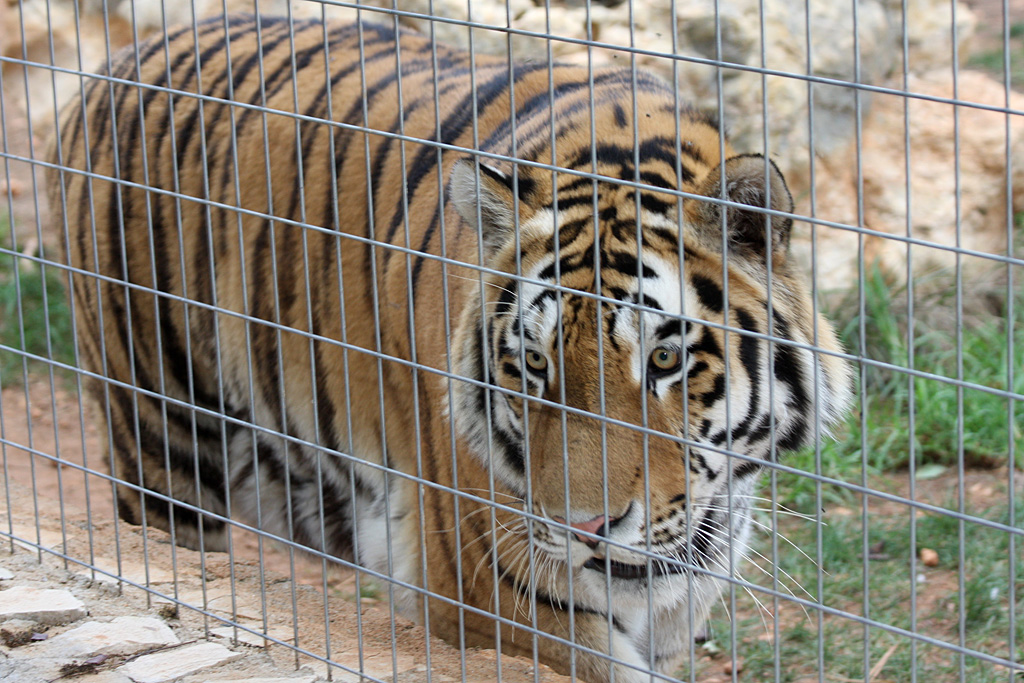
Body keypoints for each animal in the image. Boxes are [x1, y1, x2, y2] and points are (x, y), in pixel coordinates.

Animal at [48, 14, 851, 682]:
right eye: (535, 365)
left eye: (662, 360)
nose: (584, 529)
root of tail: (117, 58)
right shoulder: (500, 593)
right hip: (162, 439)